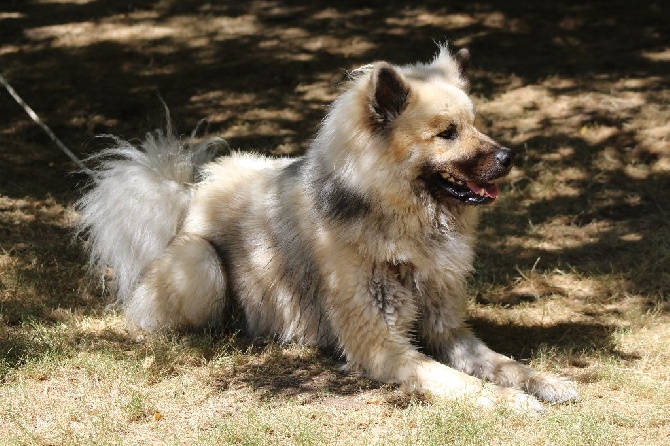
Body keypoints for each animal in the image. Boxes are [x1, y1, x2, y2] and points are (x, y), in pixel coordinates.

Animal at [79, 44, 580, 412]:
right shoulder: (380, 342)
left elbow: (501, 362)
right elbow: (454, 379)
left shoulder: (446, 327)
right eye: (447, 133)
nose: (509, 158)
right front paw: (510, 401)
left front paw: (544, 381)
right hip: (201, 262)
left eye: (475, 124)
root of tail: (191, 194)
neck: (399, 218)